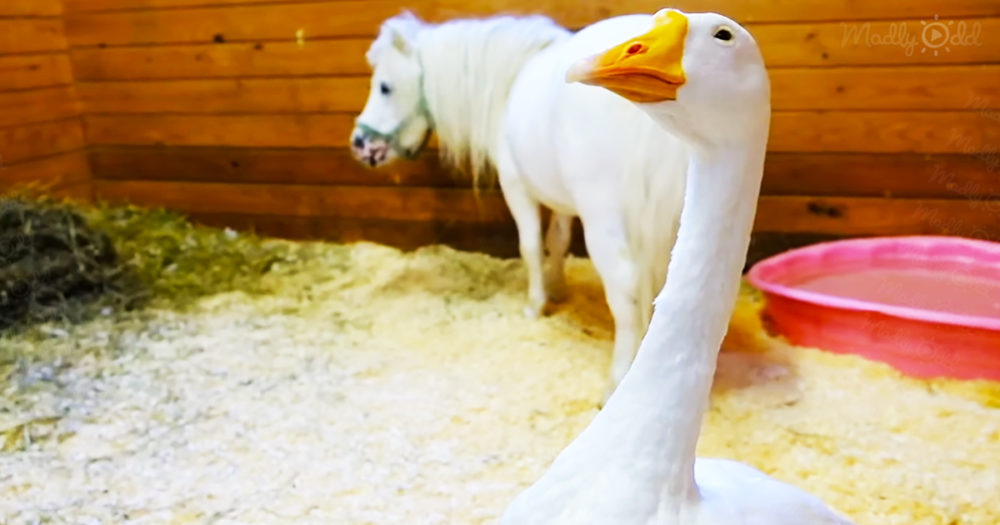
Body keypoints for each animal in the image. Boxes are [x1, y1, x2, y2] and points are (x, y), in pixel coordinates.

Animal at [349, 11, 689, 397]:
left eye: (385, 87)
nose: (360, 145)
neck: (509, 83)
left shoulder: (516, 188)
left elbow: (530, 246)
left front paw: (535, 304)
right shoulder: (561, 199)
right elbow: (557, 241)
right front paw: (557, 290)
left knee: (626, 288)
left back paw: (618, 380)